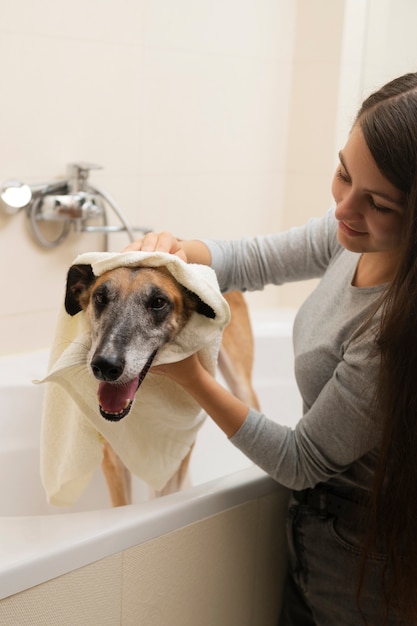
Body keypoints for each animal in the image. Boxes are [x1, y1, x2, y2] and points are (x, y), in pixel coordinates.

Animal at [64, 260, 256, 504]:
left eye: (158, 302)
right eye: (100, 297)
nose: (105, 366)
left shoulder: (175, 457)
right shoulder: (112, 455)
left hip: (242, 386)